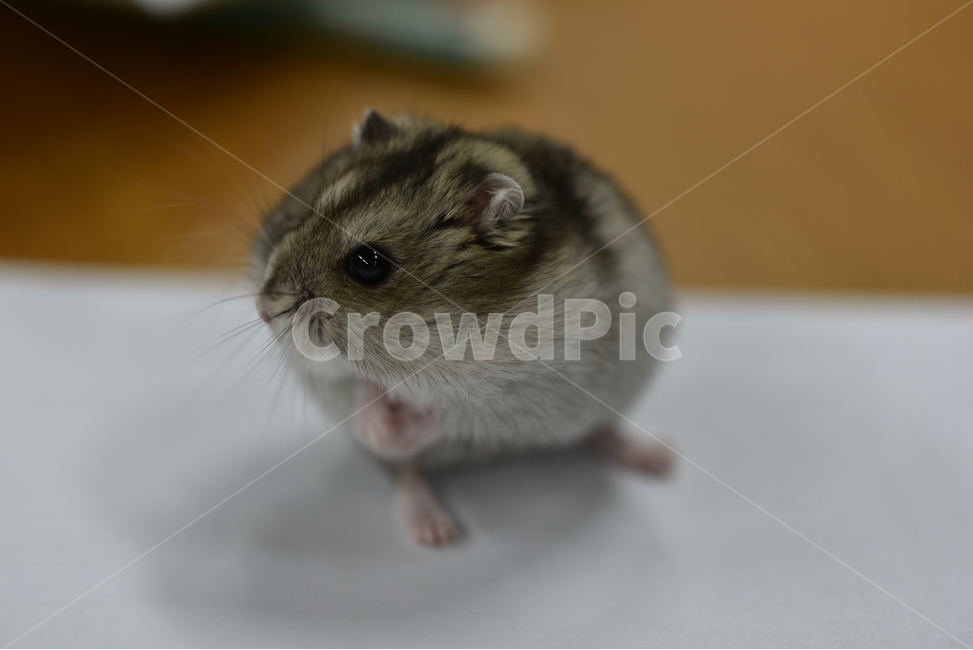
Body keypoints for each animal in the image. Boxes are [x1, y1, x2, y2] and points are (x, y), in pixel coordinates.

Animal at [252, 110, 674, 546]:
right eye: (306, 212)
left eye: (368, 263)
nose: (263, 309)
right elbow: (358, 384)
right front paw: (379, 432)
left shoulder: (523, 395)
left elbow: (447, 414)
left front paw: (391, 432)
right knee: (405, 473)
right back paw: (435, 532)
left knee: (597, 431)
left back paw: (661, 458)